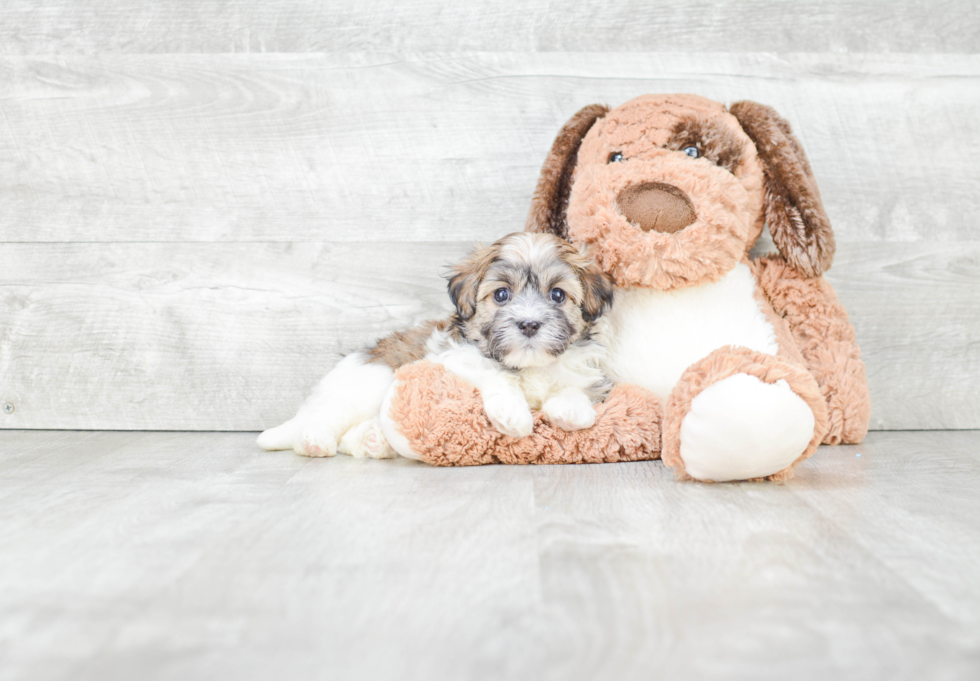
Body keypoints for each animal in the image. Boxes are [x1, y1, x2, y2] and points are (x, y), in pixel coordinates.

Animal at [256, 231, 616, 460]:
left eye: (557, 295)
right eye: (501, 294)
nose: (529, 324)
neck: (529, 367)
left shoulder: (588, 372)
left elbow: (575, 387)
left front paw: (571, 409)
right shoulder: (453, 359)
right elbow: (496, 375)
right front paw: (513, 414)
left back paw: (374, 441)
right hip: (365, 386)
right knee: (328, 417)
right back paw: (315, 441)